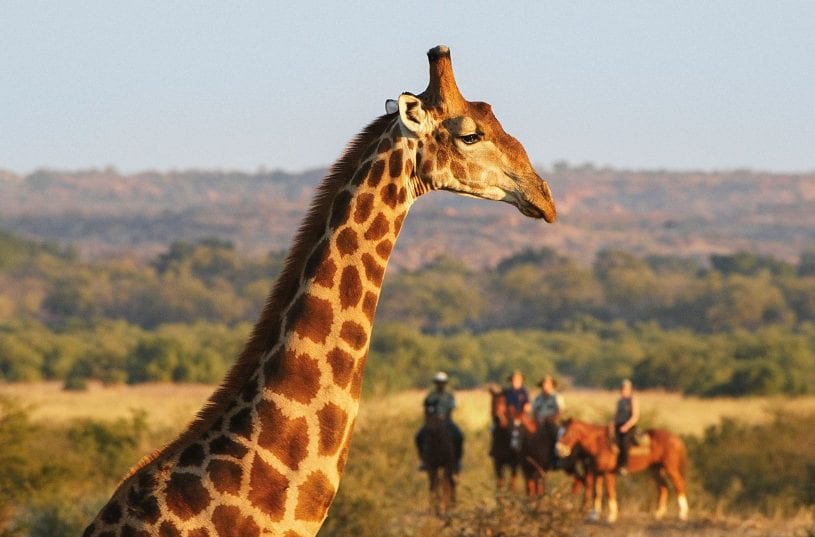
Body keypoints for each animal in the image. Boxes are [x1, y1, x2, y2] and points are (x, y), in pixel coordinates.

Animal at [556, 416, 688, 520]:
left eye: (568, 432)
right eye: (560, 432)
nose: (559, 449)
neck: (599, 443)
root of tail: (676, 438)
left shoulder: (608, 473)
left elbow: (610, 492)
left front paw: (612, 516)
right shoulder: (597, 473)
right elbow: (596, 493)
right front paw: (594, 515)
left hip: (671, 468)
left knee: (679, 485)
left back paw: (682, 514)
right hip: (655, 469)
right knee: (663, 488)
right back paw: (658, 514)